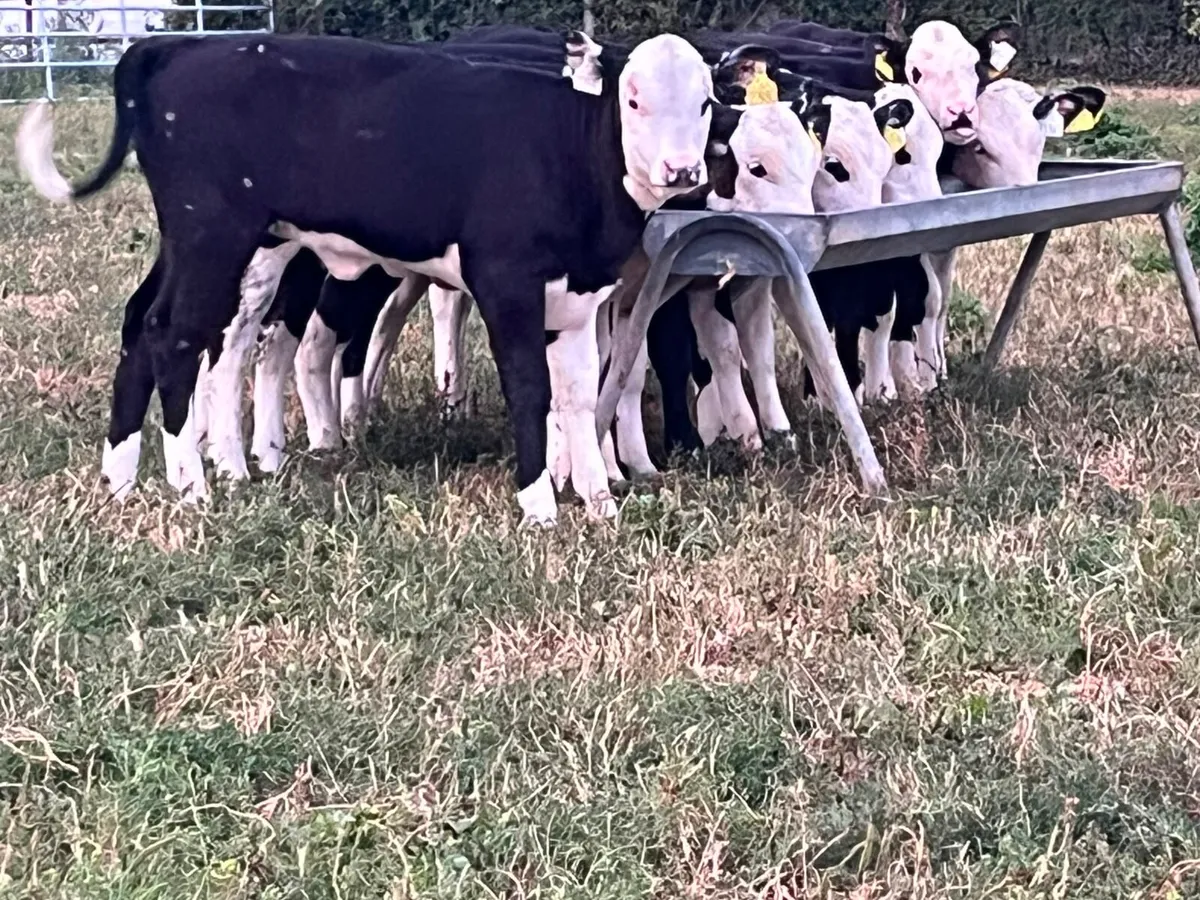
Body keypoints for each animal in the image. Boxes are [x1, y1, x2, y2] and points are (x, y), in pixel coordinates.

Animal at [16, 30, 717, 527]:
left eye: (707, 103)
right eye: (633, 99)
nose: (682, 172)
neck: (562, 151)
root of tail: (178, 46)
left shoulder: (577, 299)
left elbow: (577, 396)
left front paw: (599, 503)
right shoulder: (507, 285)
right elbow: (530, 390)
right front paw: (539, 505)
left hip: (207, 243)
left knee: (147, 324)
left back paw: (124, 477)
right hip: (212, 237)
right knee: (176, 335)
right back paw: (191, 484)